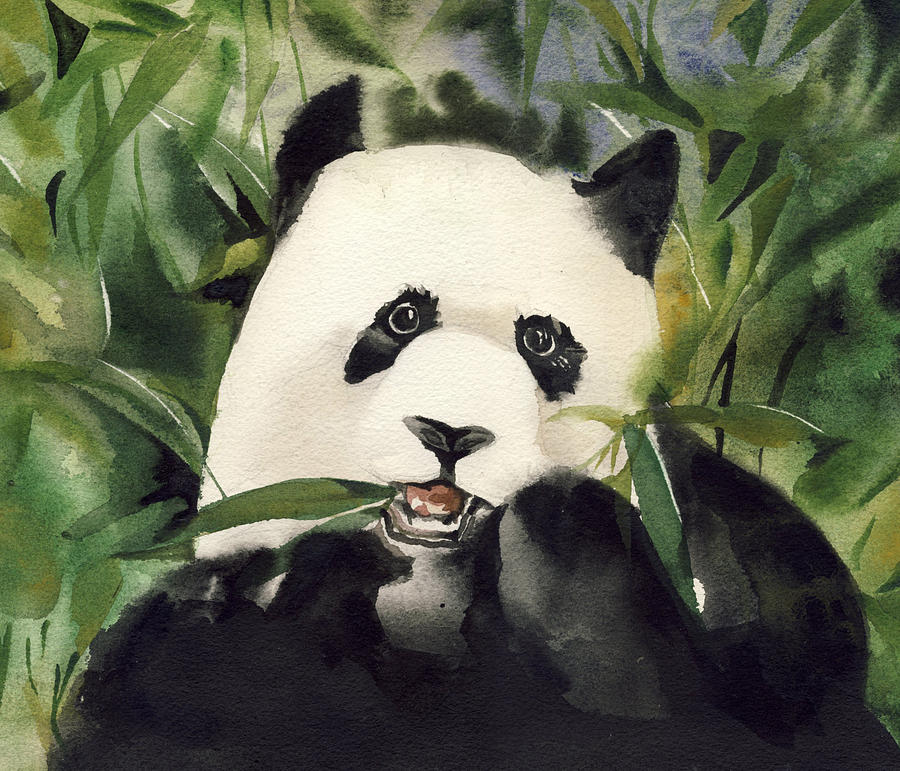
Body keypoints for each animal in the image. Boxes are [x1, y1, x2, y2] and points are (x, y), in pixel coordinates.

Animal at [55, 78, 899, 769]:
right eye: (400, 318)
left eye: (542, 341)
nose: (451, 435)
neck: (427, 583)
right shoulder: (202, 644)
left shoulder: (743, 579)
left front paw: (556, 554)